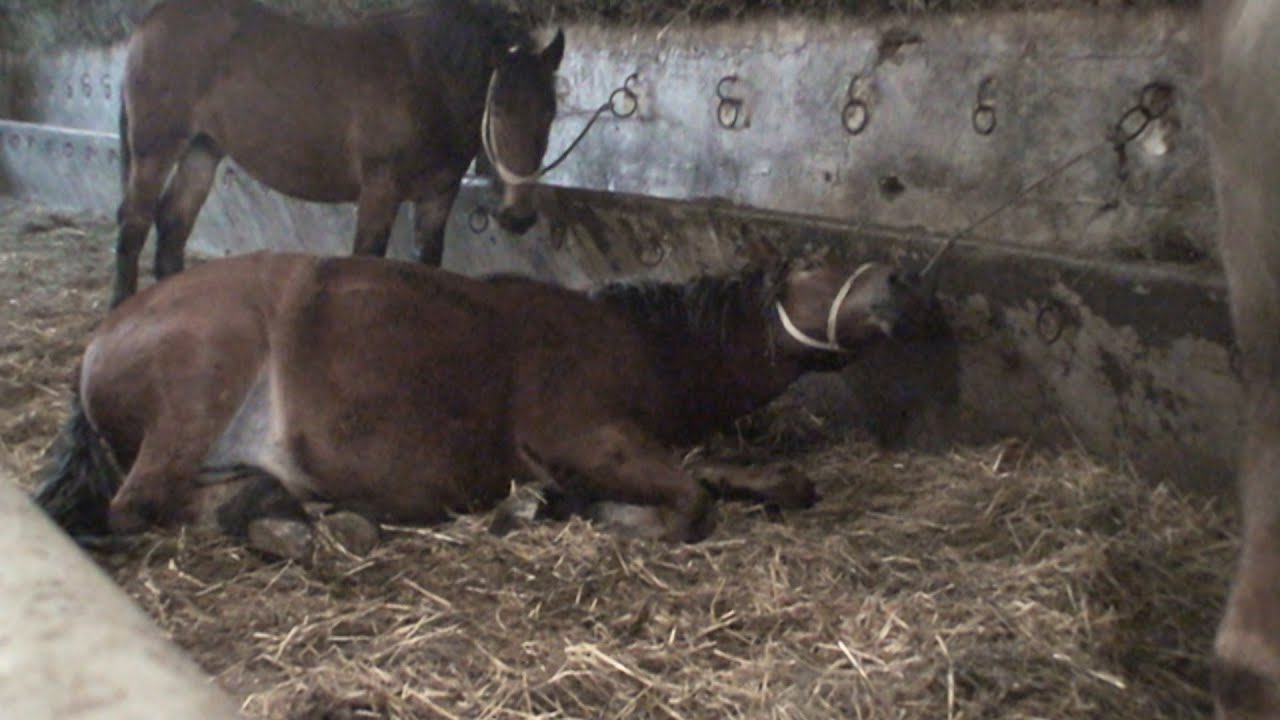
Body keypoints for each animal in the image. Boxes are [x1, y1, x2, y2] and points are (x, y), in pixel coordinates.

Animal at [34, 249, 939, 555]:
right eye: (813, 266)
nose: (903, 279)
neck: (638, 344)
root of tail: (101, 342)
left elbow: (766, 480)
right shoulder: (590, 438)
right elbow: (690, 505)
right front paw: (581, 514)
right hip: (202, 384)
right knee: (135, 506)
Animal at [110, 0, 563, 306]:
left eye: (551, 112)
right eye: (498, 109)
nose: (519, 216)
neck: (429, 80)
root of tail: (152, 21)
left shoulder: (438, 195)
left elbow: (428, 264)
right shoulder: (380, 189)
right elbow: (369, 259)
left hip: (202, 151)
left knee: (172, 225)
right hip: (156, 150)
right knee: (135, 225)